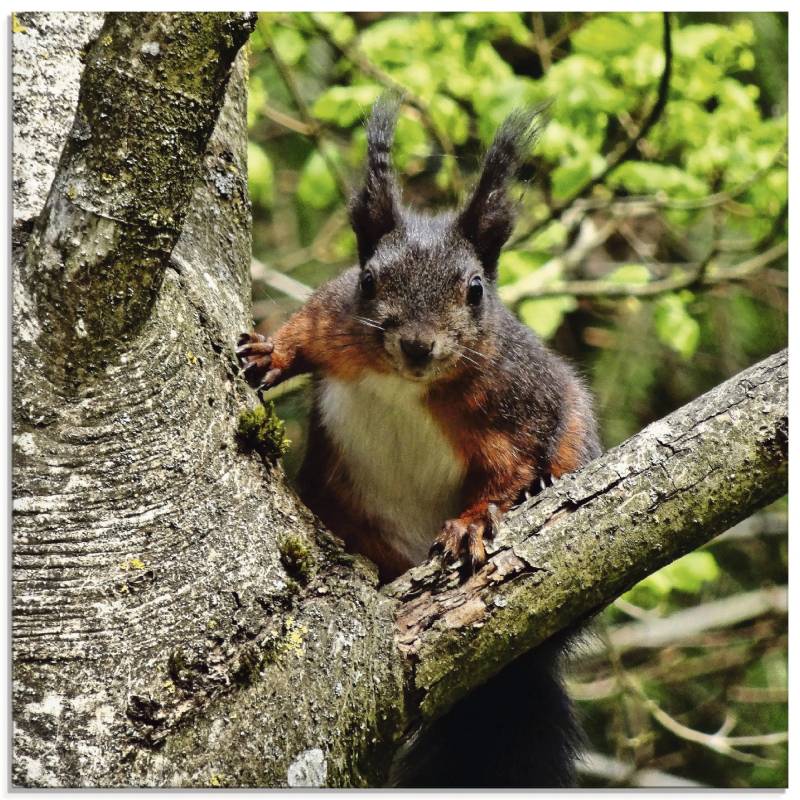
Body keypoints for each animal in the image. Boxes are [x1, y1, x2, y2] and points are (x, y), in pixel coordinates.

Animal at [238, 95, 600, 788]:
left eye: (475, 290)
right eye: (369, 280)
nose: (417, 345)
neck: (406, 383)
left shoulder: (520, 402)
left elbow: (510, 468)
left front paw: (475, 520)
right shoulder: (335, 318)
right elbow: (306, 329)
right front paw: (271, 351)